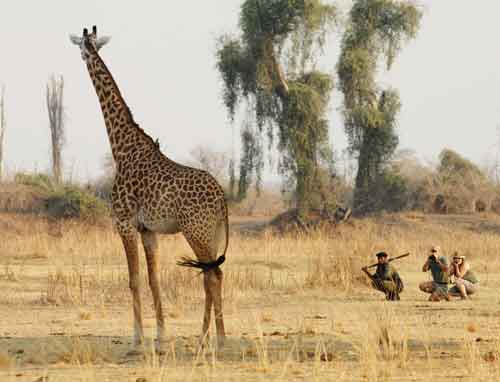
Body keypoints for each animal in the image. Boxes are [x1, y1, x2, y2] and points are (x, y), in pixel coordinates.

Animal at [70, 26, 229, 350]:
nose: (82, 54)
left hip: (196, 231)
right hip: (212, 233)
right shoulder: (148, 230)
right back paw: (204, 337)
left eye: (83, 46)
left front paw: (137, 339)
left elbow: (133, 279)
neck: (122, 148)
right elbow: (153, 279)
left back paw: (216, 339)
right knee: (211, 274)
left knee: (212, 274)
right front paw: (160, 336)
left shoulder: (124, 222)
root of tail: (222, 199)